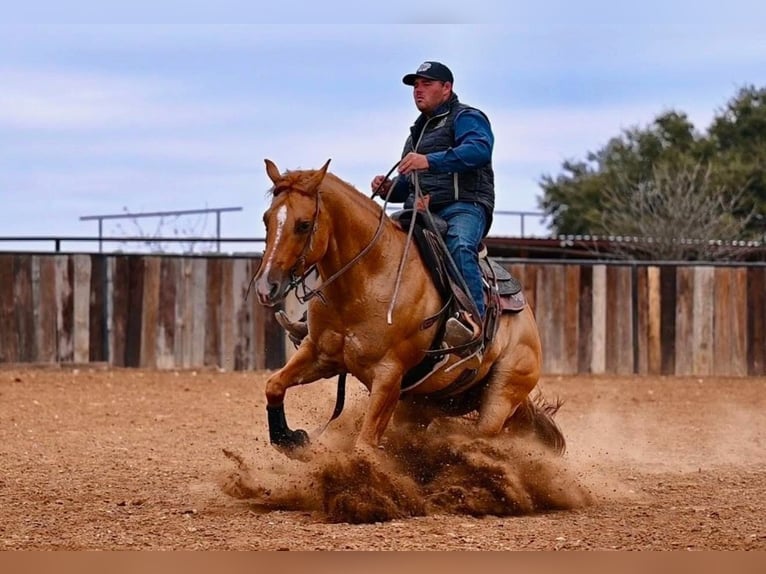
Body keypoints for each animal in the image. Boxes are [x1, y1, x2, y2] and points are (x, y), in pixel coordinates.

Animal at [252, 158, 564, 460]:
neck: (368, 278)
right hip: (423, 403)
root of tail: (528, 321)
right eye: (266, 220)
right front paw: (290, 438)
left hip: (502, 393)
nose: (266, 286)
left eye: (304, 224)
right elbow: (273, 385)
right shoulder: (320, 354)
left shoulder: (389, 375)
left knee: (481, 434)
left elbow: (363, 446)